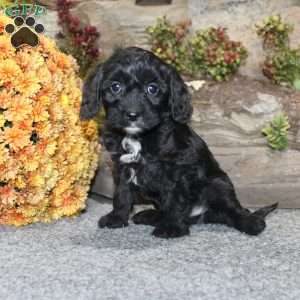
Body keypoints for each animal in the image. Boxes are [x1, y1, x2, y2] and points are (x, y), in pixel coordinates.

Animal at [81, 47, 278, 238]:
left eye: (152, 89)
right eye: (115, 87)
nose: (132, 114)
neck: (140, 136)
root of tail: (202, 215)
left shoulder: (180, 169)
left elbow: (176, 199)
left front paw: (171, 226)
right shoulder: (122, 165)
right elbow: (122, 193)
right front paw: (117, 217)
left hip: (217, 183)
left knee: (233, 209)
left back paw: (251, 222)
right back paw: (150, 215)